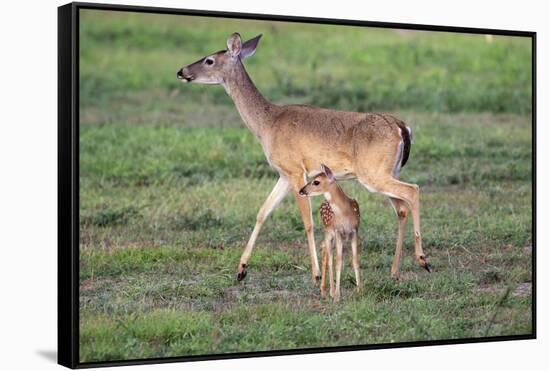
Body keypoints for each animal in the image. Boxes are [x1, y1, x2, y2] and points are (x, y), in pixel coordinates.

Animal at [179, 32, 434, 282]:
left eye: (209, 60)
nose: (181, 71)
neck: (267, 124)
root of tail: (402, 127)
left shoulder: (296, 171)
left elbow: (308, 222)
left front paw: (316, 274)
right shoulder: (283, 174)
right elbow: (263, 212)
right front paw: (241, 269)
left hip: (373, 173)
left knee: (412, 190)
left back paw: (423, 260)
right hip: (387, 171)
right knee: (401, 208)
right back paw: (395, 270)